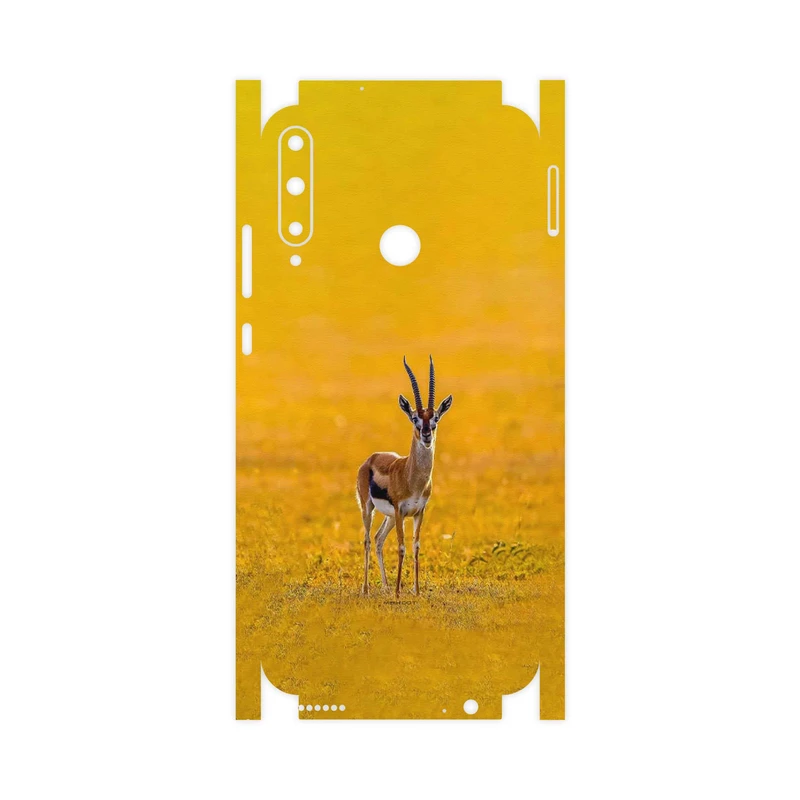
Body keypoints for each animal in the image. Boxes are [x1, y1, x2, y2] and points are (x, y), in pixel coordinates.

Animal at [356, 356, 453, 597]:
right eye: (414, 418)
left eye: (435, 419)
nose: (426, 434)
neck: (413, 479)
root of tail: (371, 458)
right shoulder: (401, 511)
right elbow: (401, 547)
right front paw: (400, 592)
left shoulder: (419, 512)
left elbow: (415, 546)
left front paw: (416, 591)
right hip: (368, 508)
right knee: (367, 540)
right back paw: (367, 589)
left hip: (389, 517)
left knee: (378, 539)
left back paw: (385, 587)